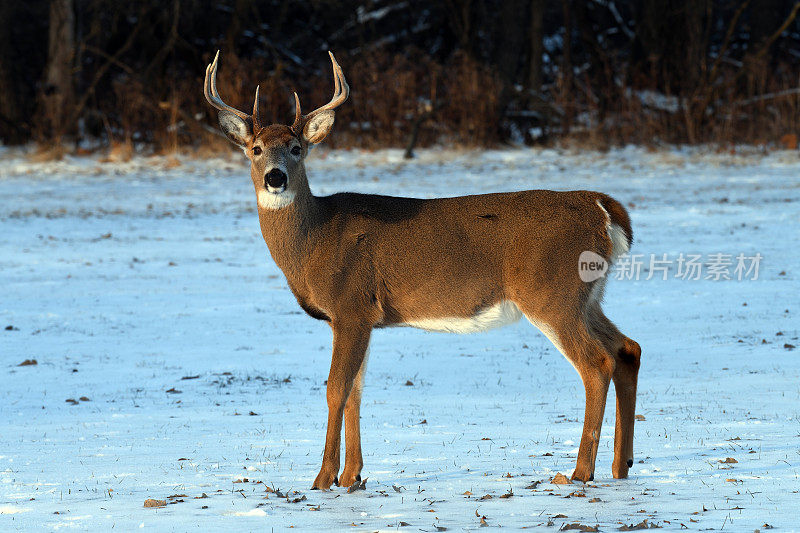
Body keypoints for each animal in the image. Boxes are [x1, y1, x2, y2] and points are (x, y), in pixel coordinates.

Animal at [203, 52, 640, 488]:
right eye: (256, 148)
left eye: (296, 148)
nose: (275, 177)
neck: (315, 240)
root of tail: (604, 210)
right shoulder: (361, 318)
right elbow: (356, 390)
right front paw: (351, 476)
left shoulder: (351, 306)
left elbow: (336, 389)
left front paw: (323, 478)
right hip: (587, 296)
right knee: (627, 349)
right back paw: (621, 466)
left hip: (551, 293)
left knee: (597, 363)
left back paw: (579, 472)